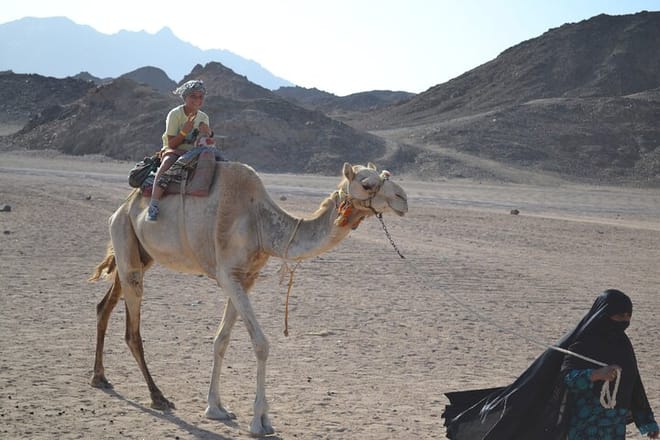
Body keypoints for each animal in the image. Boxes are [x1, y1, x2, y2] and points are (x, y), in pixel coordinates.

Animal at [89, 160, 408, 436]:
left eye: (384, 176)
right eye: (367, 184)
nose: (403, 199)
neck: (260, 224)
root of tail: (123, 206)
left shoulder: (246, 278)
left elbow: (221, 339)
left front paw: (215, 408)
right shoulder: (228, 275)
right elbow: (261, 344)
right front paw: (261, 421)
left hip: (138, 252)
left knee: (104, 305)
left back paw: (99, 377)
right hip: (126, 243)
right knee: (132, 329)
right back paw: (158, 397)